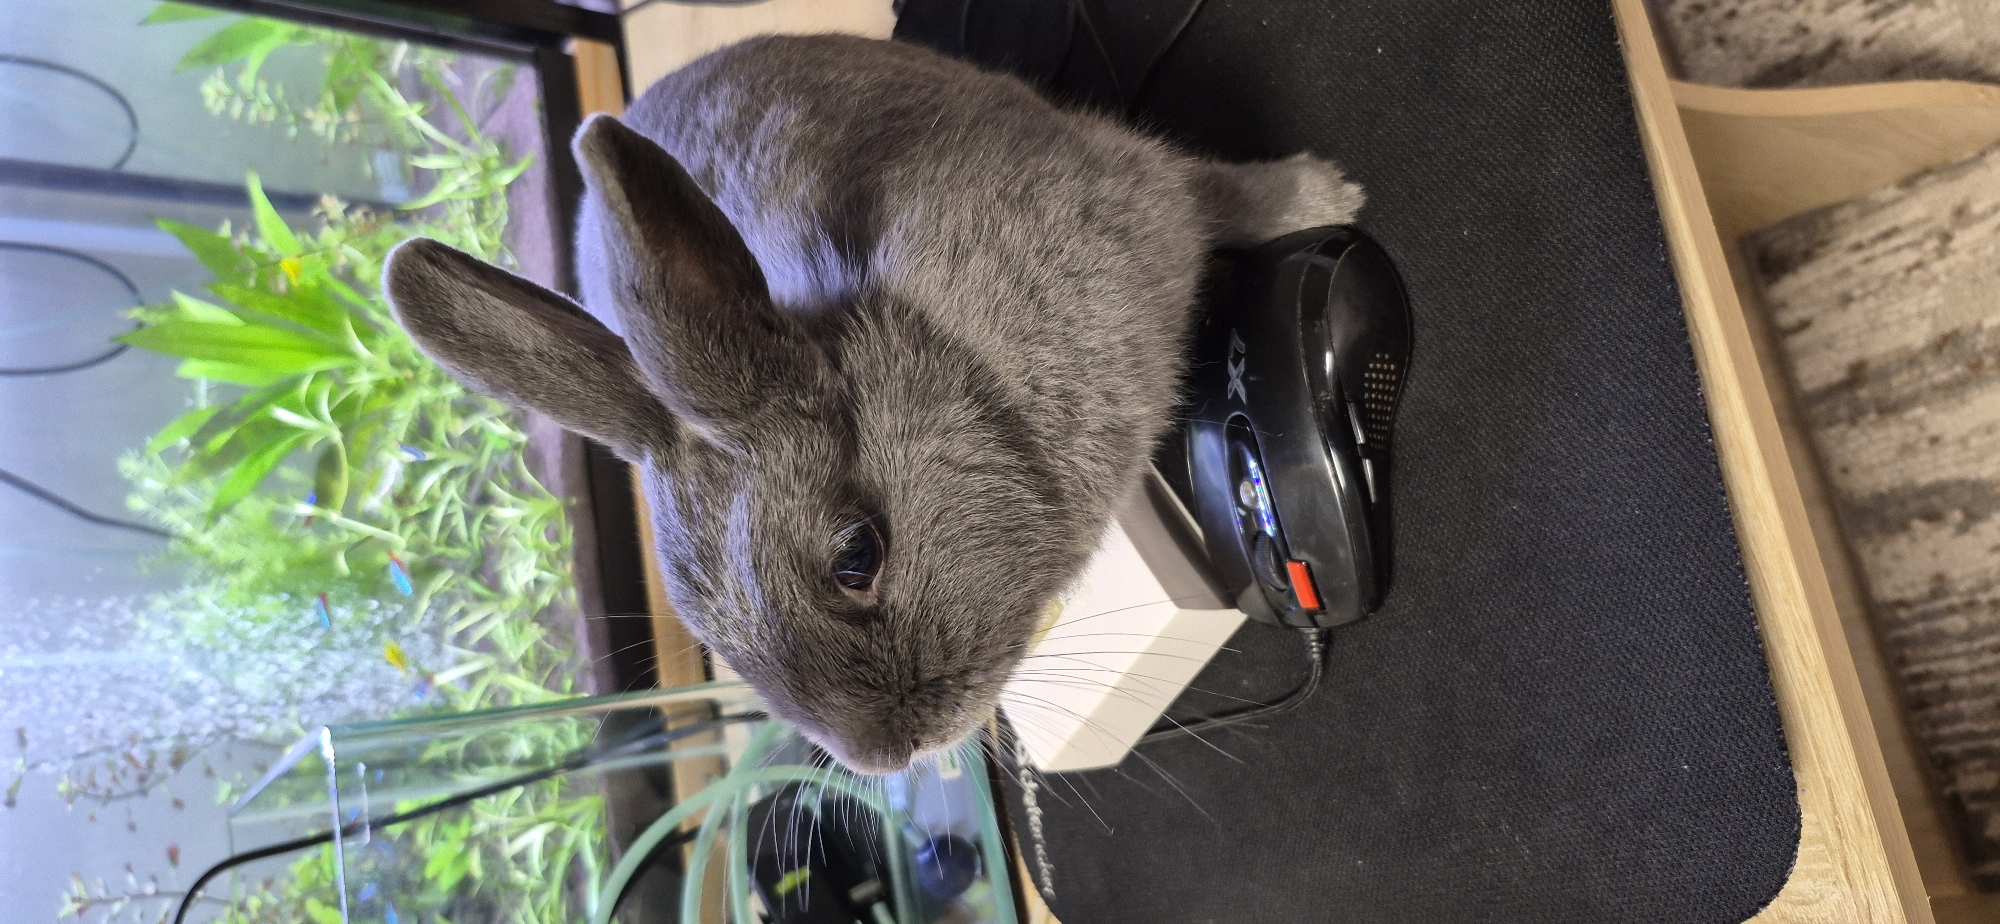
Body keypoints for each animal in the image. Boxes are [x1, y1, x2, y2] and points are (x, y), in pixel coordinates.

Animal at [381, 34, 1362, 774]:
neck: (963, 367)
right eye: (710, 636)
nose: (889, 754)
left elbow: (1220, 195)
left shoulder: (1141, 190)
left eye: (858, 556)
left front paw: (1328, 193)